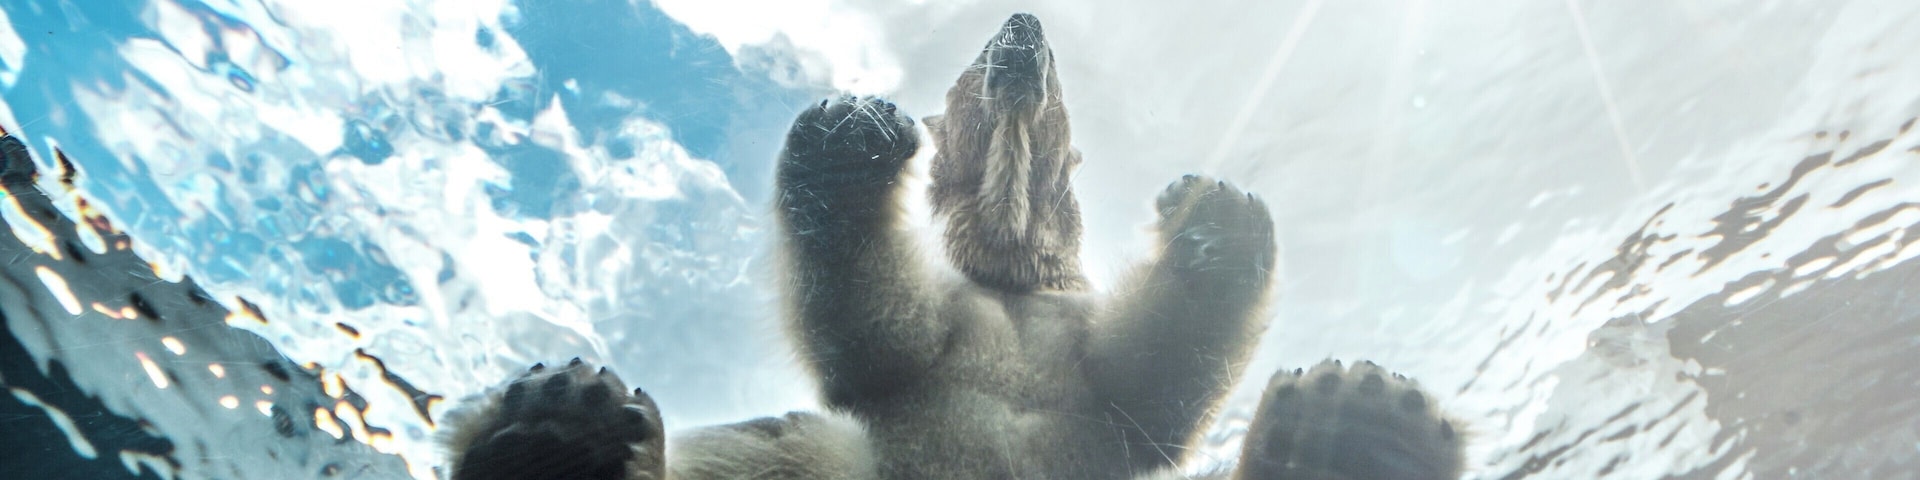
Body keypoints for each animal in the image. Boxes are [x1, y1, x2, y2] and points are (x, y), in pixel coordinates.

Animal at [442, 12, 1464, 480]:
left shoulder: (1082, 359)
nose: (1023, 23)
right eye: (972, 61)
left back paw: (1362, 421)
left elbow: (1155, 377)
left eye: (1057, 79)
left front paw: (1218, 210)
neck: (1006, 273)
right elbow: (874, 329)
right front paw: (846, 138)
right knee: (776, 442)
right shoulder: (928, 343)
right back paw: (559, 429)